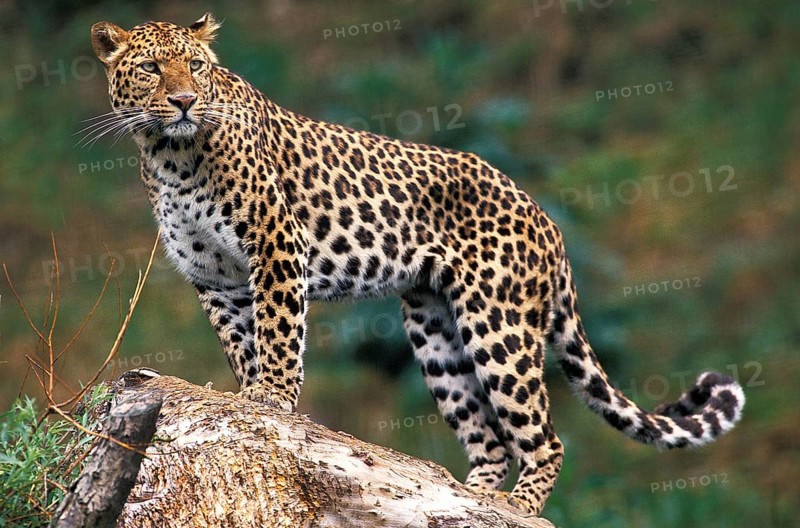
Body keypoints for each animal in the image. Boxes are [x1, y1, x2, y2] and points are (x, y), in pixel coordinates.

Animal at [89, 13, 745, 515]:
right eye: (151, 69)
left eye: (195, 66)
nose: (183, 101)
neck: (170, 154)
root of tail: (547, 220)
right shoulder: (215, 277)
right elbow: (239, 339)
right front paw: (246, 393)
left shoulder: (275, 246)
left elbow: (278, 330)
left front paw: (271, 399)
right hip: (436, 332)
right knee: (489, 441)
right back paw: (468, 499)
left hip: (499, 326)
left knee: (543, 438)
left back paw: (517, 506)